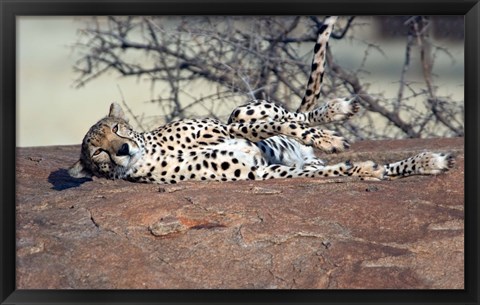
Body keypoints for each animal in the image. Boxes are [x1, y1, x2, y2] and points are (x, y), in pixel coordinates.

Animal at [67, 16, 454, 184]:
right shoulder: (262, 171)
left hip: (243, 107)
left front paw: (330, 138)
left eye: (118, 128)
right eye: (97, 153)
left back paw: (337, 112)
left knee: (294, 114)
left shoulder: (225, 127)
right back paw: (427, 162)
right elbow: (327, 169)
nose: (122, 150)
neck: (151, 151)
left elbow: (272, 125)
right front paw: (363, 169)